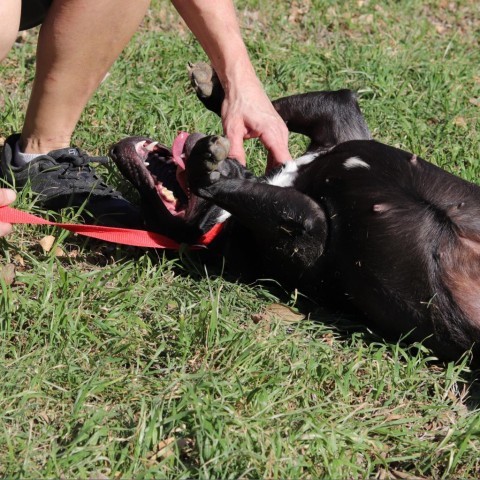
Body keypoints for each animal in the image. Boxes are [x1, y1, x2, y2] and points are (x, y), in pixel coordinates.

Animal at [109, 63, 480, 364]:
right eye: (146, 212)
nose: (115, 150)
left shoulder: (339, 121)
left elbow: (274, 110)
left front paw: (215, 88)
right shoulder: (310, 227)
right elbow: (219, 185)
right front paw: (205, 166)